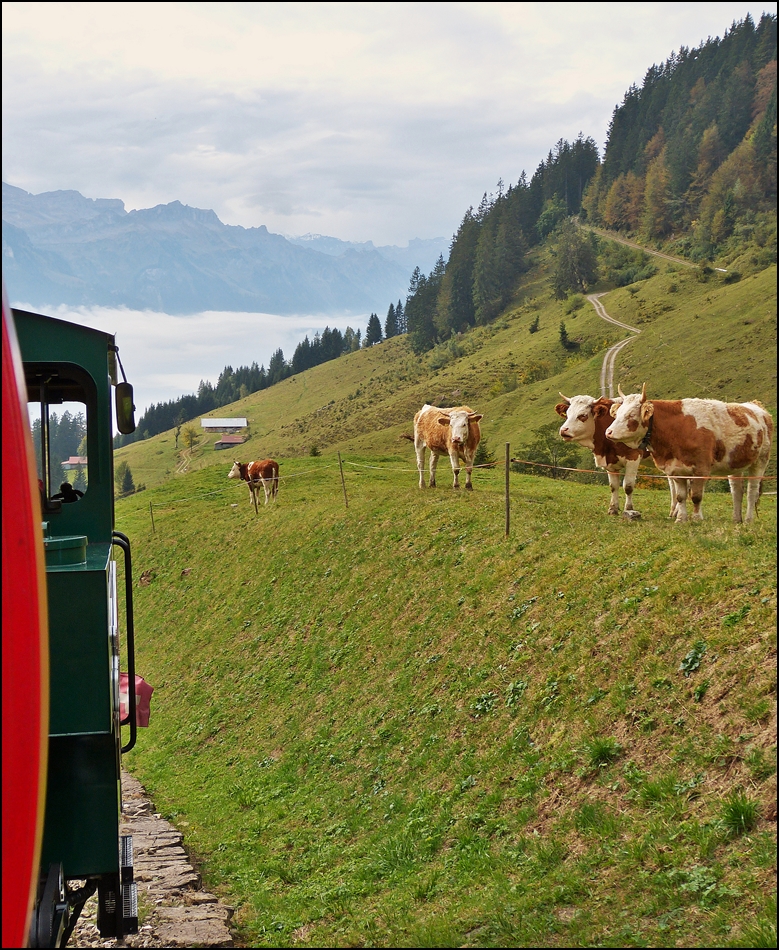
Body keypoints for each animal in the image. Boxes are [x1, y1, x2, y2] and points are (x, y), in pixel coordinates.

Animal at [608, 384, 772, 524]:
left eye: (630, 415)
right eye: (618, 413)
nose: (608, 432)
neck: (677, 428)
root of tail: (756, 407)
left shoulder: (701, 469)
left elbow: (696, 496)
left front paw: (697, 518)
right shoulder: (676, 469)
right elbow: (681, 497)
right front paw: (681, 519)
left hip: (760, 461)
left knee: (752, 491)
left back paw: (748, 520)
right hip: (735, 465)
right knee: (737, 491)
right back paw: (736, 519)